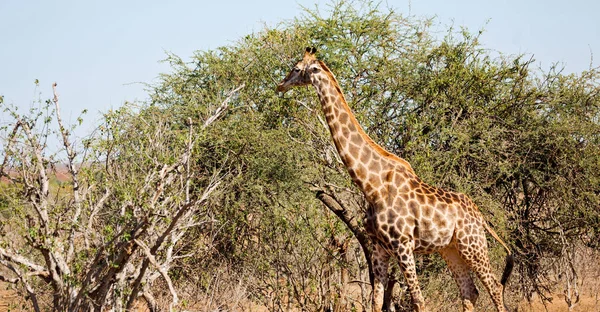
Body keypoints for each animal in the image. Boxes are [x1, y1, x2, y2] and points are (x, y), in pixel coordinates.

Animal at [276, 47, 516, 312]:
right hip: (450, 249)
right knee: (469, 291)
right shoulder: (379, 247)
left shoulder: (403, 244)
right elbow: (376, 300)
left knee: (494, 287)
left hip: (472, 245)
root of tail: (480, 216)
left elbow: (418, 300)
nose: (280, 85)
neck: (372, 185)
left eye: (297, 68)